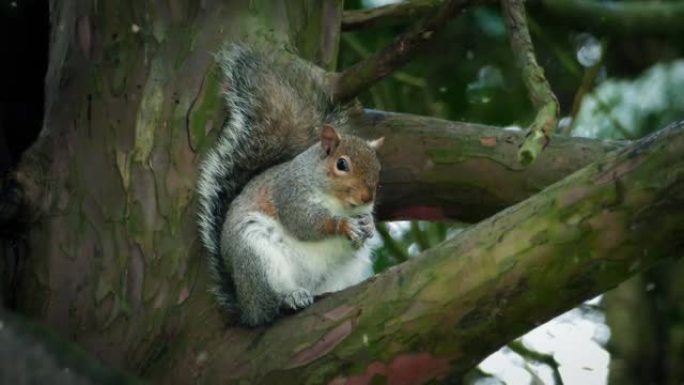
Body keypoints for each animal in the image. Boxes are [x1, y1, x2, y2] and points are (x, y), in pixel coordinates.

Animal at [196, 43, 384, 326]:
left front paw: (368, 224)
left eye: (378, 167)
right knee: (270, 307)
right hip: (257, 256)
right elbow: (304, 222)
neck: (337, 201)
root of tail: (246, 306)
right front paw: (343, 224)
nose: (366, 197)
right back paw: (290, 298)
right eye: (342, 164)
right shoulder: (289, 193)